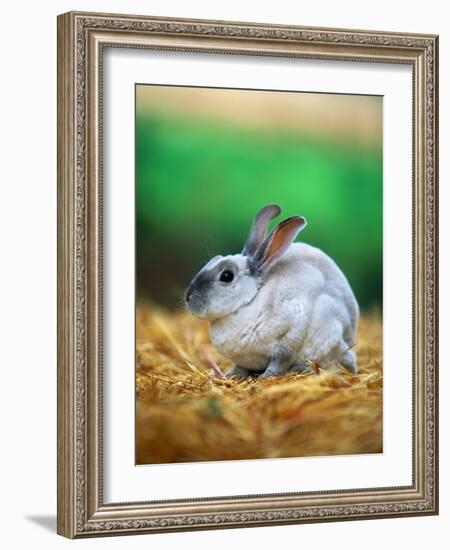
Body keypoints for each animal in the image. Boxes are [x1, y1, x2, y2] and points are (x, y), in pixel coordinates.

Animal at [184, 205, 358, 382]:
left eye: (226, 276)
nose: (188, 297)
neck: (250, 301)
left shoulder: (290, 334)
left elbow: (279, 362)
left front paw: (265, 377)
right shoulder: (244, 359)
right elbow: (240, 366)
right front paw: (231, 375)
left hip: (329, 331)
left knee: (346, 362)